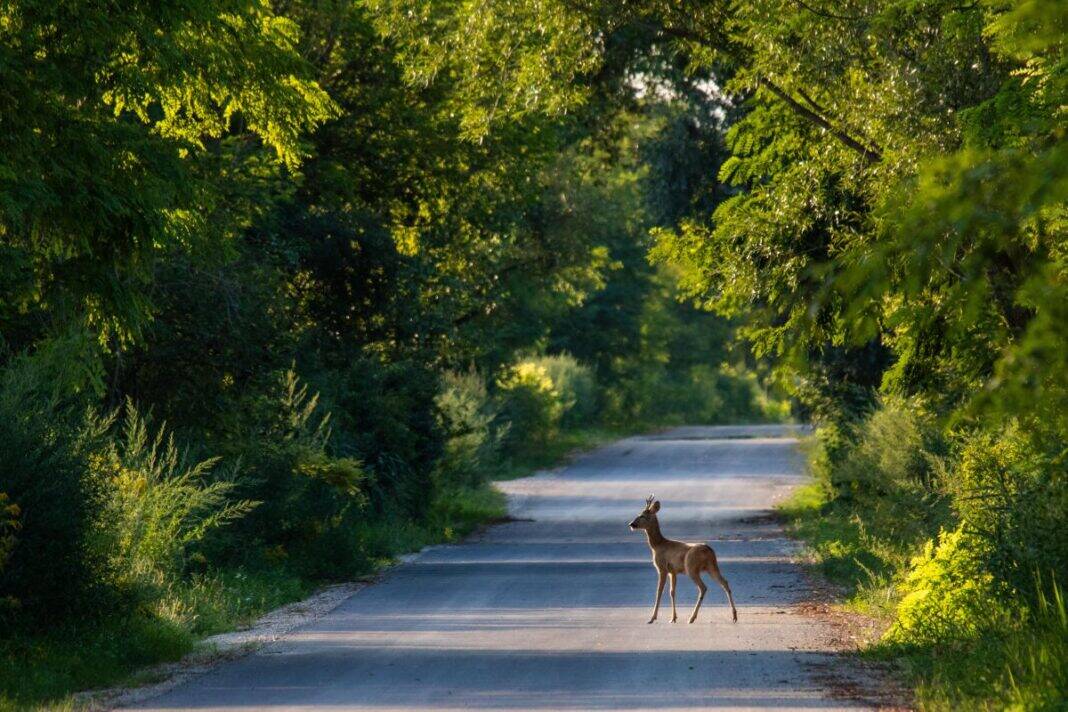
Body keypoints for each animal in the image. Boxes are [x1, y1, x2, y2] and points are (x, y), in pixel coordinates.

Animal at [629, 495, 737, 625]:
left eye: (642, 515)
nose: (631, 524)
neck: (658, 545)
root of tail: (708, 550)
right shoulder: (673, 571)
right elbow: (672, 592)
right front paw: (673, 618)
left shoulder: (662, 568)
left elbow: (659, 592)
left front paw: (652, 618)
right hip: (712, 566)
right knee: (724, 582)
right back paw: (734, 616)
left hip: (691, 568)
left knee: (703, 587)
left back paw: (692, 618)